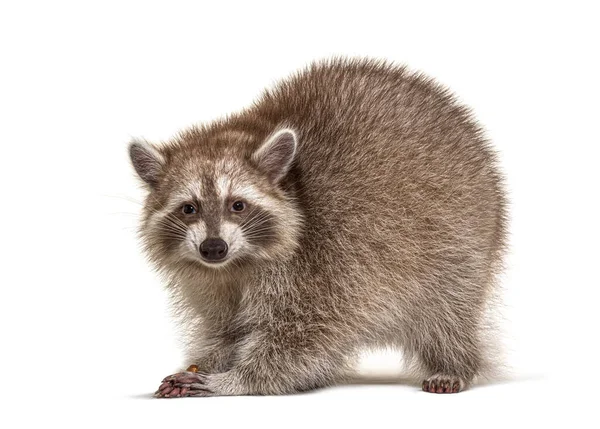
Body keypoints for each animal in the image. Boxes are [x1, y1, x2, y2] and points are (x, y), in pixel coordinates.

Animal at [130, 58, 506, 396]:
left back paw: (455, 363)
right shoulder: (212, 282)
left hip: (460, 239)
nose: (213, 248)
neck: (238, 264)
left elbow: (305, 336)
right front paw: (209, 362)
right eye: (188, 208)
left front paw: (236, 379)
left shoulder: (327, 260)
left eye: (237, 205)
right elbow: (225, 329)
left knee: (447, 311)